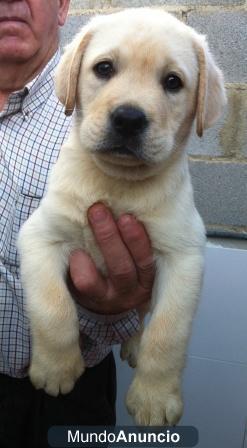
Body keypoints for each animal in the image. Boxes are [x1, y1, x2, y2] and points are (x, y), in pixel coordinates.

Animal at [16, 8, 226, 426]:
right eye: (104, 68)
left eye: (173, 82)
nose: (128, 118)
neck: (118, 184)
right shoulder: (39, 236)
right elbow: (52, 308)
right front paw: (56, 369)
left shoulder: (184, 256)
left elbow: (167, 332)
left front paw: (154, 398)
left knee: (142, 317)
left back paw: (134, 345)